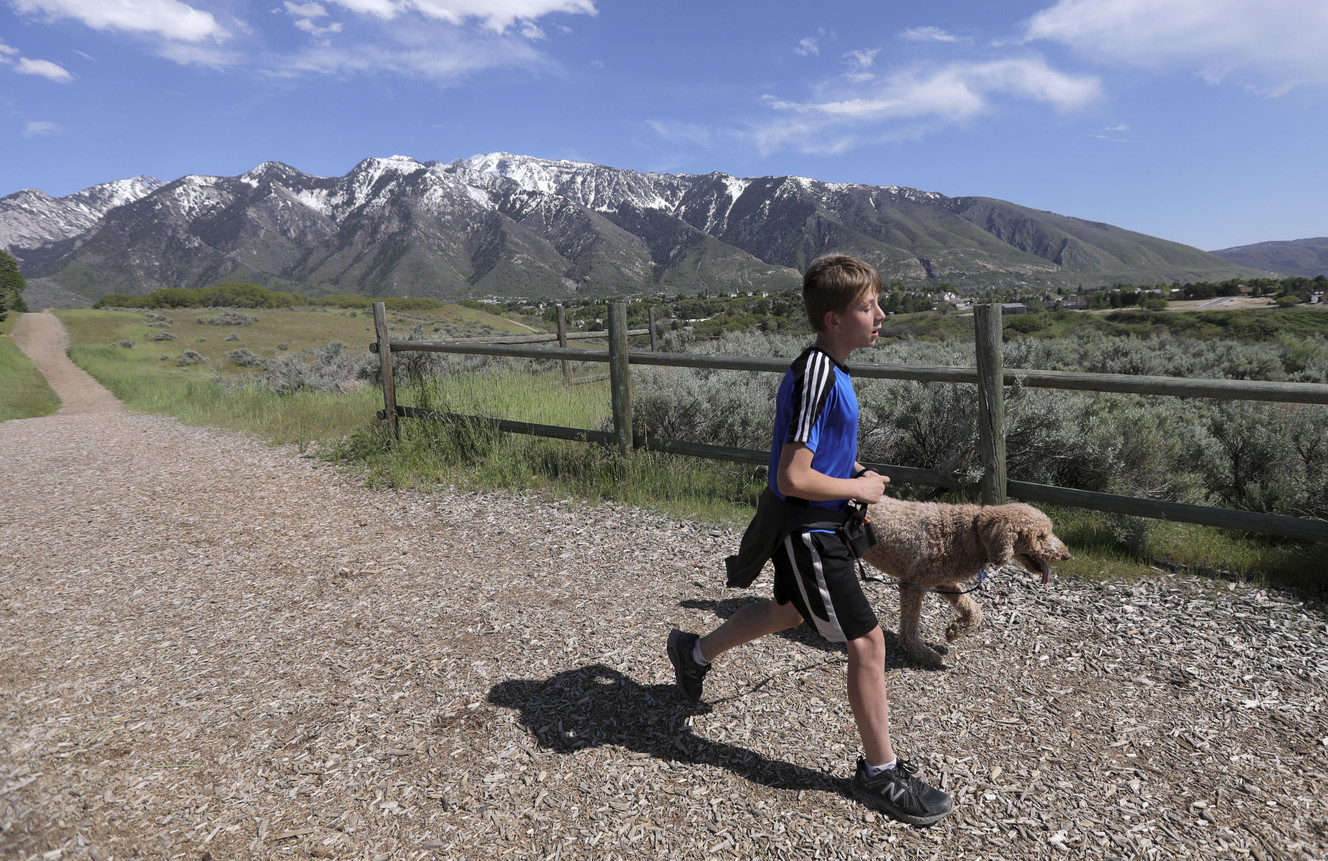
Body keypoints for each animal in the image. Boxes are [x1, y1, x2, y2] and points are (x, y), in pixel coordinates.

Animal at [855, 494, 1073, 669]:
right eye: (1041, 536)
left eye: (1048, 532)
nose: (1066, 555)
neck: (971, 533)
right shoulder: (912, 584)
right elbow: (910, 626)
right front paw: (921, 653)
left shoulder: (944, 581)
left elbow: (974, 609)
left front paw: (955, 631)